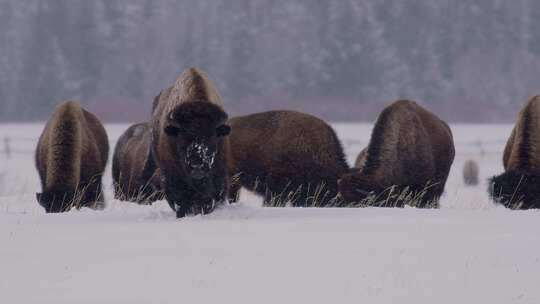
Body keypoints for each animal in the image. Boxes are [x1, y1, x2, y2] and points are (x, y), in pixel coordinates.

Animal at [151, 67, 231, 217]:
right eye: (182, 139)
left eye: (212, 137)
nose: (197, 167)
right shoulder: (174, 177)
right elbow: (181, 200)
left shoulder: (218, 175)